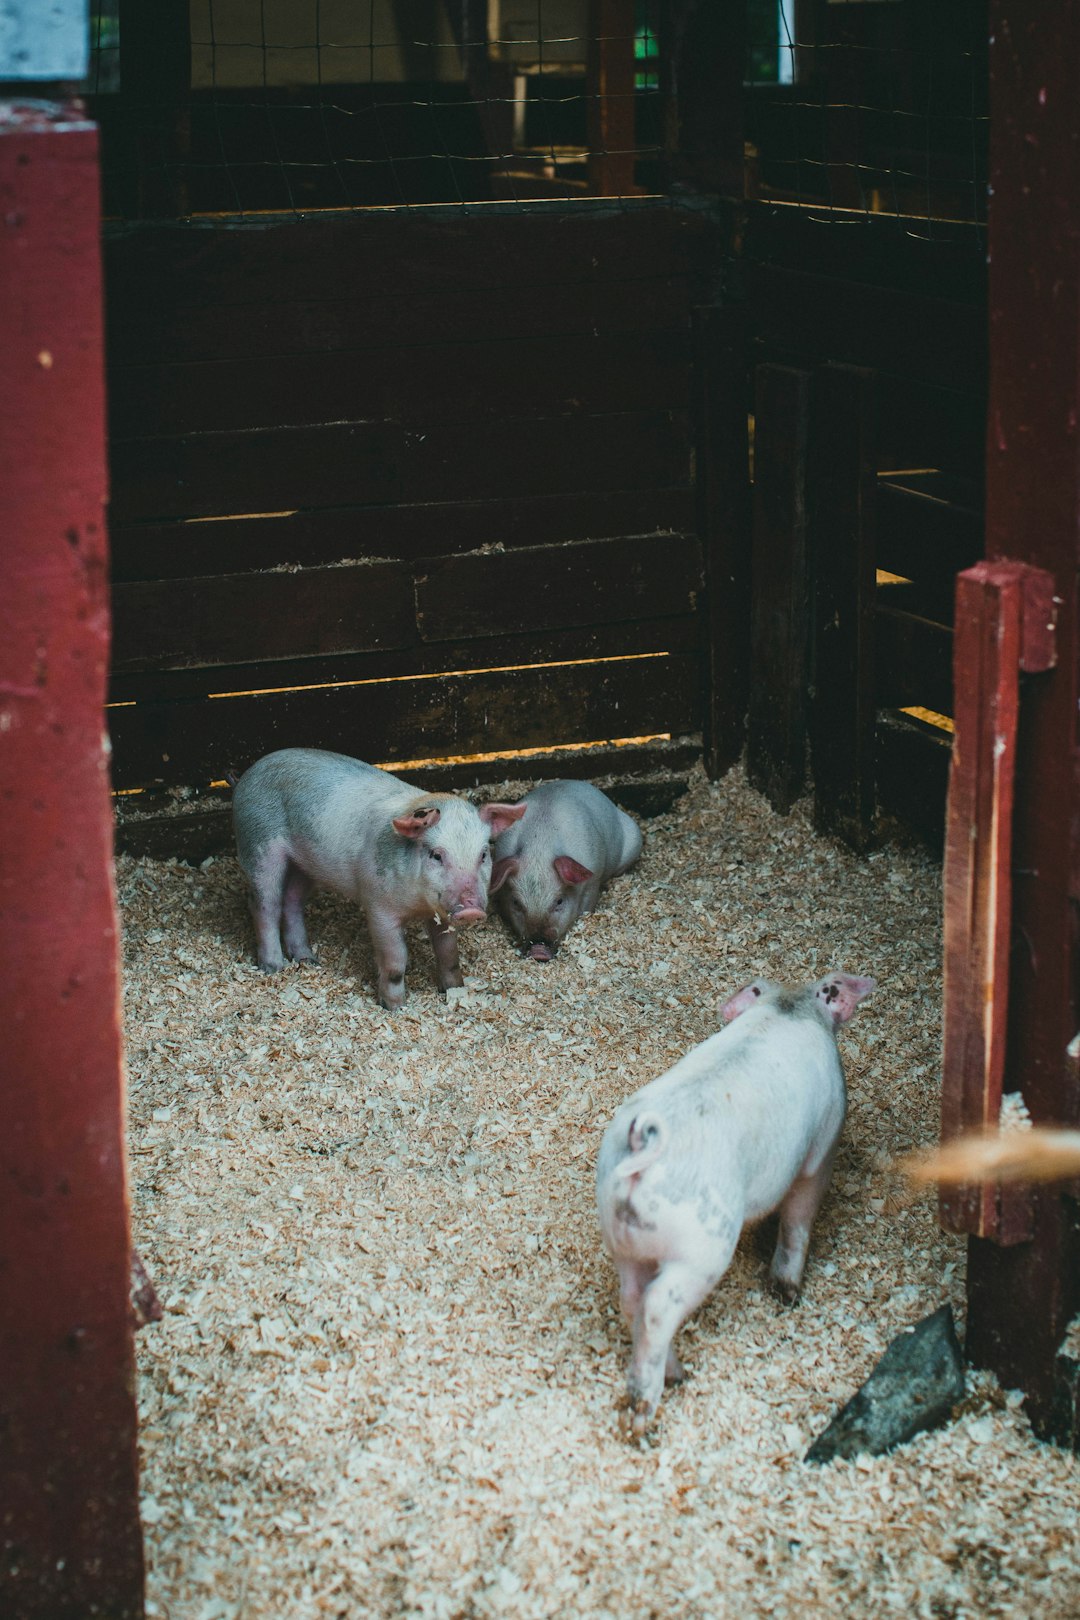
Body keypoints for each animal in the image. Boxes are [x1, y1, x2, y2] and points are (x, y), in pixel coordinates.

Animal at [233, 748, 527, 1004]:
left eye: (483, 854)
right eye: (436, 855)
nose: (471, 910)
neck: (419, 905)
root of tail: (248, 774)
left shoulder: (441, 913)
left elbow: (448, 954)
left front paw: (454, 990)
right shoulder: (378, 907)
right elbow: (396, 960)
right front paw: (394, 1006)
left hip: (304, 865)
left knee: (292, 902)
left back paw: (308, 960)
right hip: (259, 845)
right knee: (263, 904)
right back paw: (273, 966)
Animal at [595, 965, 874, 1438]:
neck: (787, 1006)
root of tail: (639, 1147)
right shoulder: (820, 1152)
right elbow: (798, 1220)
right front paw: (787, 1294)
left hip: (622, 1240)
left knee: (632, 1299)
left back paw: (676, 1375)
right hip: (701, 1248)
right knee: (656, 1308)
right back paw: (645, 1413)